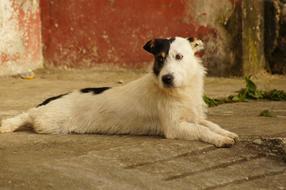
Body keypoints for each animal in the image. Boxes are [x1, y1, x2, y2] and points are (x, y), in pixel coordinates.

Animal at [0, 36, 237, 147]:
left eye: (179, 57)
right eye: (160, 59)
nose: (166, 78)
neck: (181, 90)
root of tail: (43, 105)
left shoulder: (192, 116)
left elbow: (209, 124)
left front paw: (226, 133)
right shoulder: (175, 127)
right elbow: (202, 131)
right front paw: (220, 140)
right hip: (50, 124)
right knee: (29, 117)